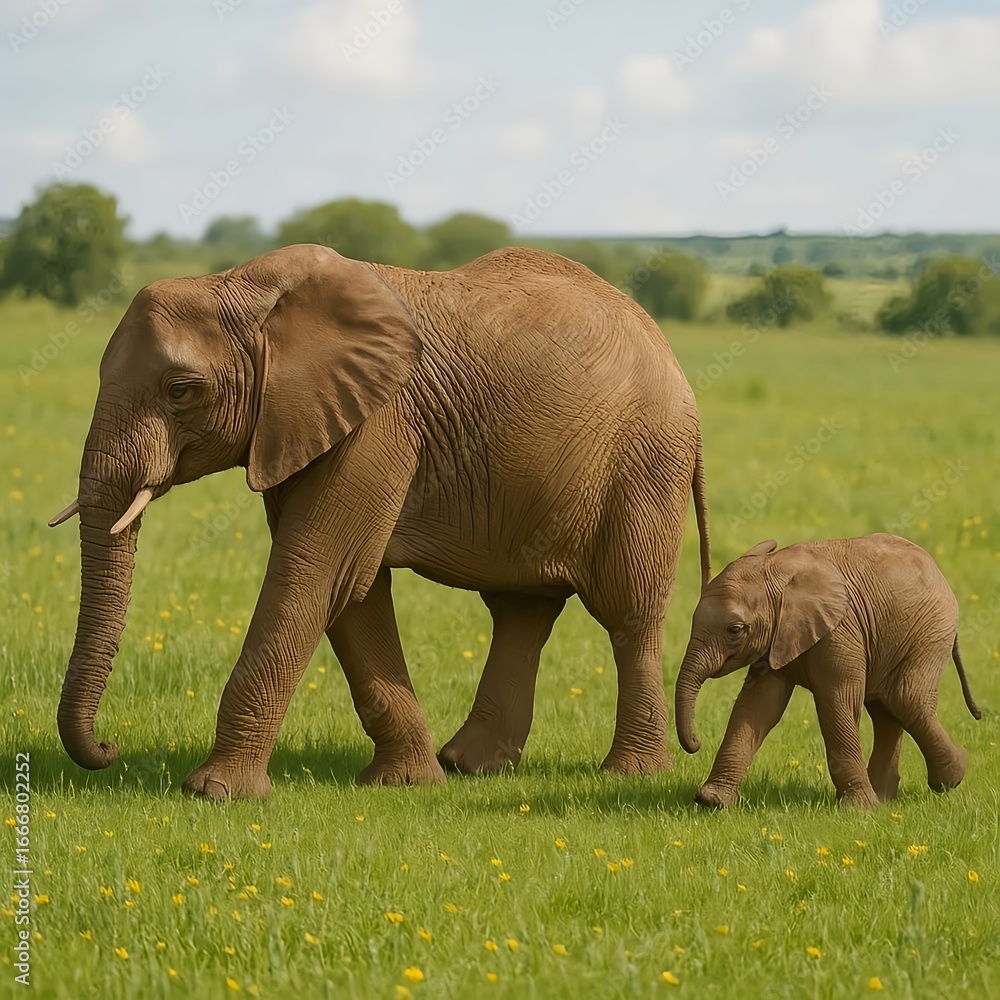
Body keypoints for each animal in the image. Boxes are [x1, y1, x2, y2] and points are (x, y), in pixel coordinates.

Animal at [49, 243, 711, 799]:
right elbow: (351, 589)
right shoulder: (301, 422)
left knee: (629, 612)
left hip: (646, 466)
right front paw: (407, 784)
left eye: (181, 389)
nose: (108, 747)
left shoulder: (376, 425)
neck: (244, 286)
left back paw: (630, 773)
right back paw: (468, 767)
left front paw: (214, 793)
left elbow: (315, 572)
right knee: (522, 611)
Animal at [674, 535, 981, 809]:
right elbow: (758, 705)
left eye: (735, 630)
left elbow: (835, 703)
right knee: (886, 709)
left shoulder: (840, 630)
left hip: (932, 629)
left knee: (905, 697)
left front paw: (858, 810)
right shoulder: (778, 637)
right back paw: (884, 798)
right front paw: (711, 802)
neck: (776, 570)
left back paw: (951, 776)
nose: (696, 742)